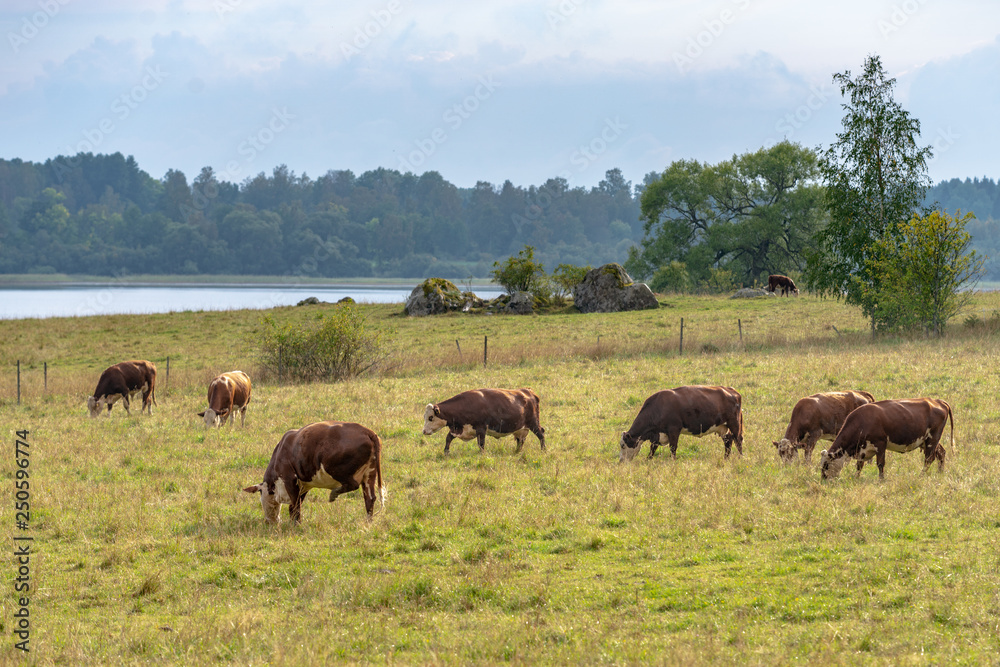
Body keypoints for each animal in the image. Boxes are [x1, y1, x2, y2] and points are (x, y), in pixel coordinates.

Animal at [616, 384, 744, 462]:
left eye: (623, 445)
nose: (621, 461)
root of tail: (730, 390)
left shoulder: (673, 429)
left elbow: (673, 448)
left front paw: (673, 461)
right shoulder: (657, 435)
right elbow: (653, 448)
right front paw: (648, 460)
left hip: (734, 423)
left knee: (738, 440)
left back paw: (740, 458)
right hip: (723, 427)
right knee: (728, 441)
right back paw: (725, 459)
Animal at [820, 400, 952, 482]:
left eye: (826, 465)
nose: (823, 479)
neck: (862, 422)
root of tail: (937, 401)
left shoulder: (880, 444)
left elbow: (880, 464)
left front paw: (881, 480)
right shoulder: (863, 449)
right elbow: (859, 465)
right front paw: (856, 478)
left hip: (932, 439)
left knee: (929, 459)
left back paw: (921, 475)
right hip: (927, 441)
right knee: (941, 452)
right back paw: (940, 472)